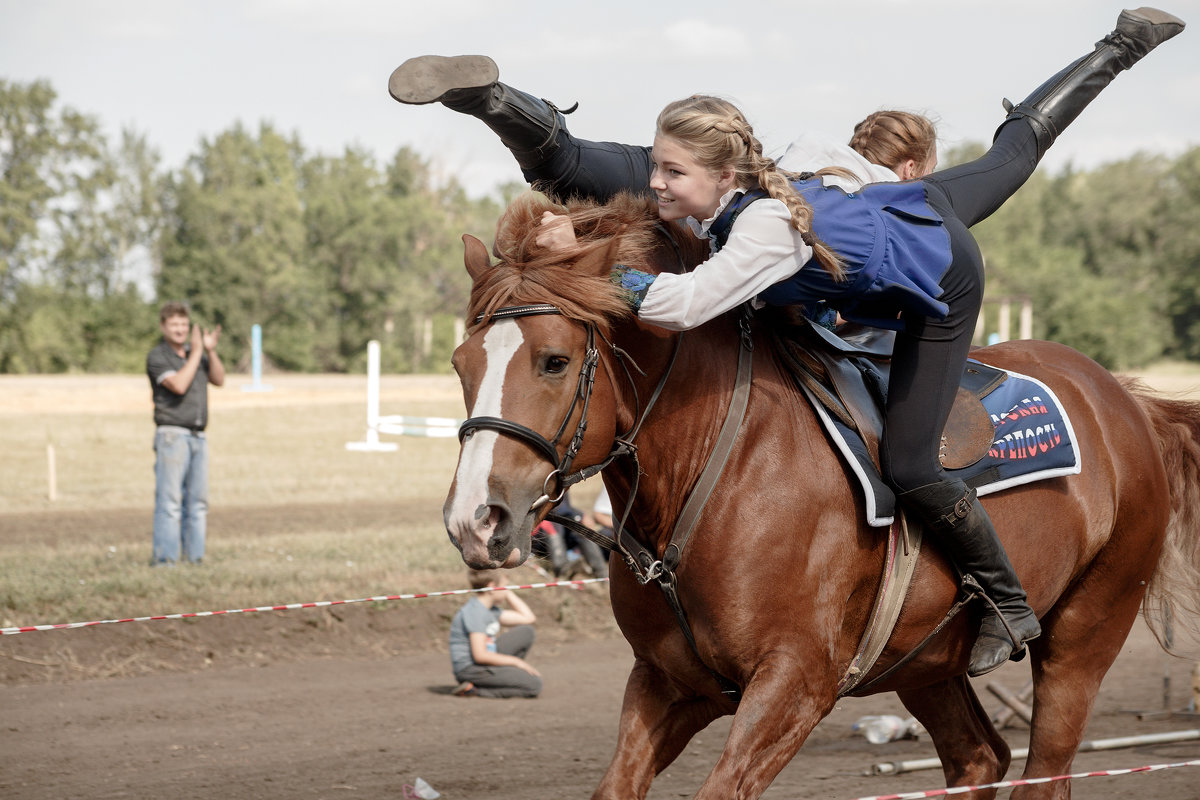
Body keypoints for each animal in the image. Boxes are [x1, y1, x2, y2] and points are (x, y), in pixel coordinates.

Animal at [446, 194, 1200, 800]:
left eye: (554, 361)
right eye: (462, 363)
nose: (475, 520)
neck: (713, 468)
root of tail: (1125, 400)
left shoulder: (796, 682)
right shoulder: (669, 682)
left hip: (1086, 634)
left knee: (1045, 772)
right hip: (926, 662)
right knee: (980, 758)